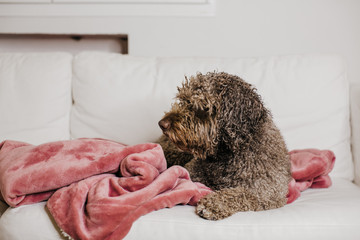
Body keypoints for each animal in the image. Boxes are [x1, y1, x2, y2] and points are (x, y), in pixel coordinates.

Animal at [156, 72, 292, 220]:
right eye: (184, 100)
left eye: (202, 106)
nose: (162, 124)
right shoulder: (192, 172)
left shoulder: (267, 191)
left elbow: (241, 193)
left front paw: (213, 204)